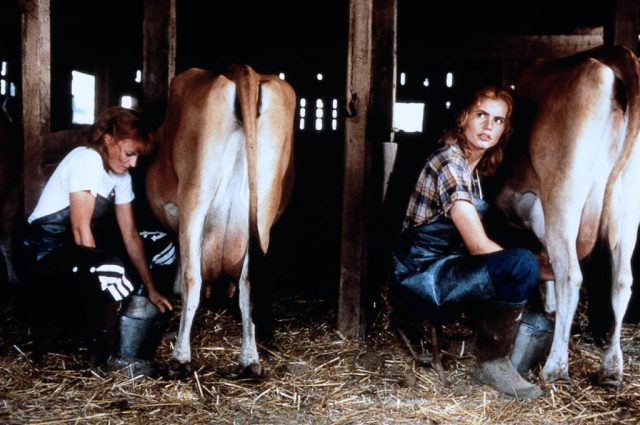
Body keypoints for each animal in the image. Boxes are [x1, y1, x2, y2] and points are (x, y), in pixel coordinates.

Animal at [146, 62, 296, 374]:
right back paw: (250, 360)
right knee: (248, 282)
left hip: (195, 193)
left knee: (193, 277)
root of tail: (243, 70)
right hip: (264, 204)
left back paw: (180, 358)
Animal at [500, 44, 640, 386]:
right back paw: (612, 368)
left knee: (571, 275)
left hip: (563, 193)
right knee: (622, 280)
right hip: (629, 203)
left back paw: (556, 366)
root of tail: (618, 54)